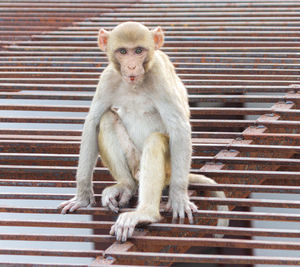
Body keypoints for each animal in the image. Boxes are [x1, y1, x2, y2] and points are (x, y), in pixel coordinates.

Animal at [57, 22, 229, 242]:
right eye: (123, 51)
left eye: (139, 51)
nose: (131, 66)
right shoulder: (108, 78)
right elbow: (93, 123)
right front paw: (82, 196)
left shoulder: (159, 75)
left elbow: (179, 128)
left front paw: (179, 196)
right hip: (133, 164)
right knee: (106, 119)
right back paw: (126, 186)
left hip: (169, 170)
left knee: (155, 141)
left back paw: (146, 213)